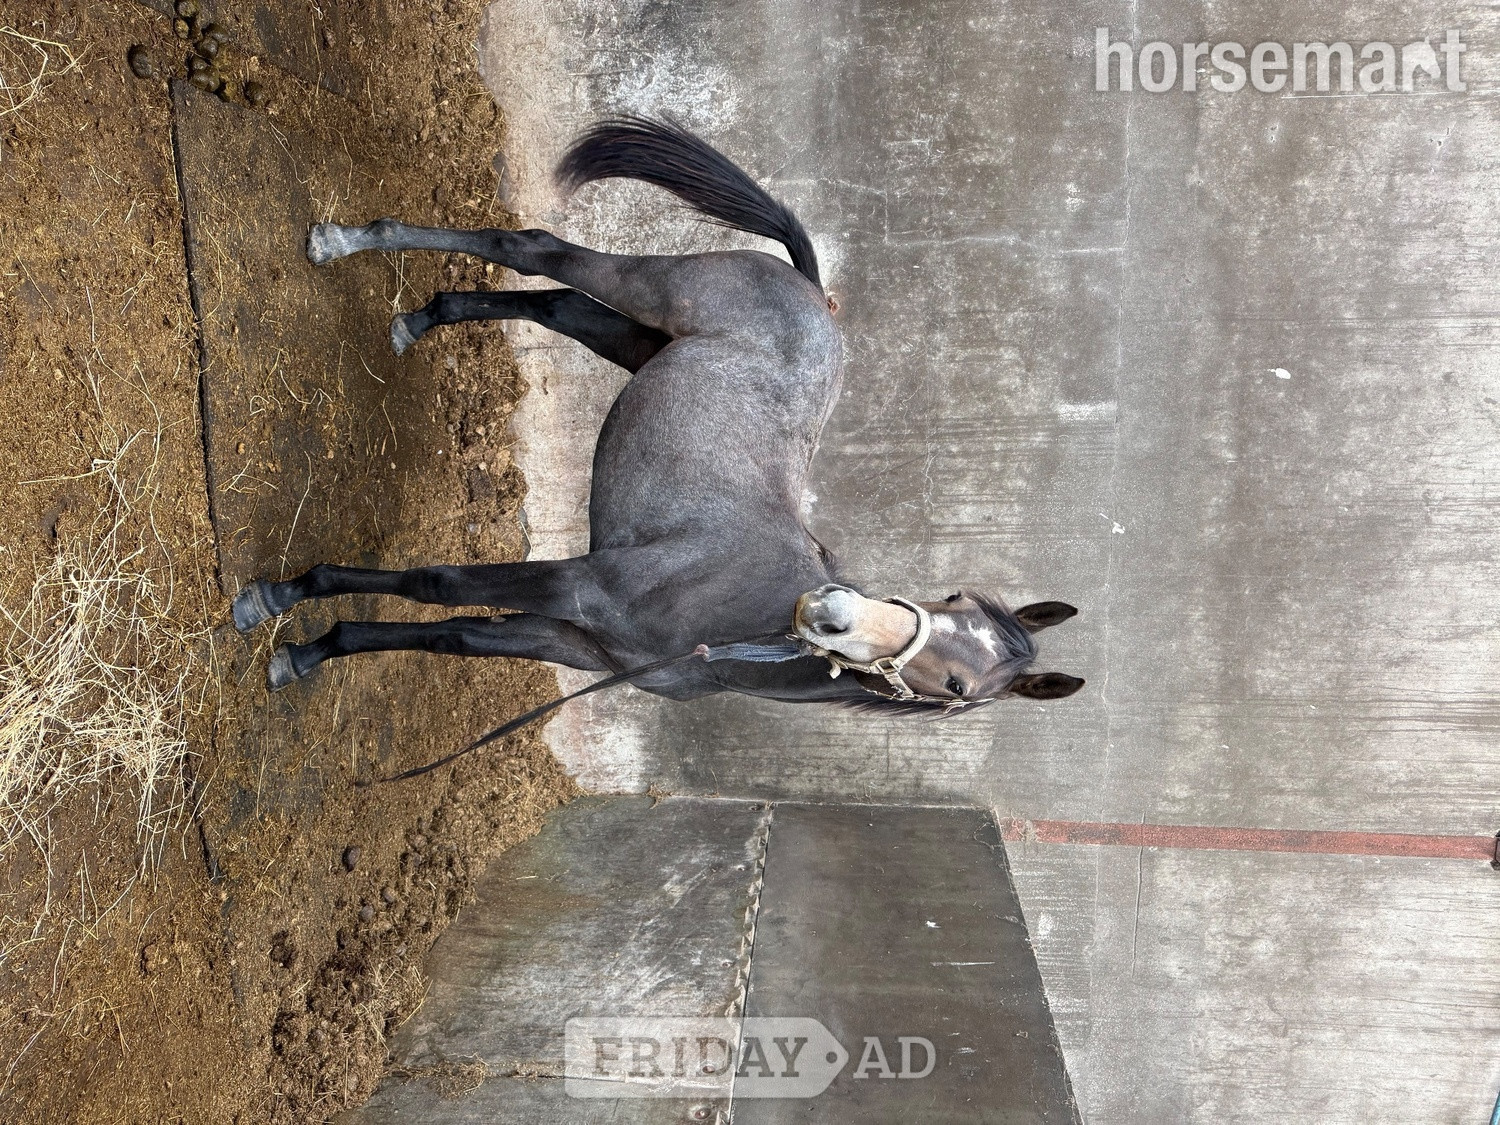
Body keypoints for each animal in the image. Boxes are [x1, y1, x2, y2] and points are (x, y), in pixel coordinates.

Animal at [232, 117, 1084, 726]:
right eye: (947, 602)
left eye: (959, 681)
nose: (832, 612)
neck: (733, 616)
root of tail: (813, 290)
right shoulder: (573, 584)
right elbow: (435, 583)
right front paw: (276, 598)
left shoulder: (573, 636)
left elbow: (453, 631)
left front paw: (306, 652)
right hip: (649, 287)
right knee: (536, 249)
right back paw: (345, 241)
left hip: (643, 344)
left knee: (557, 303)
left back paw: (420, 318)